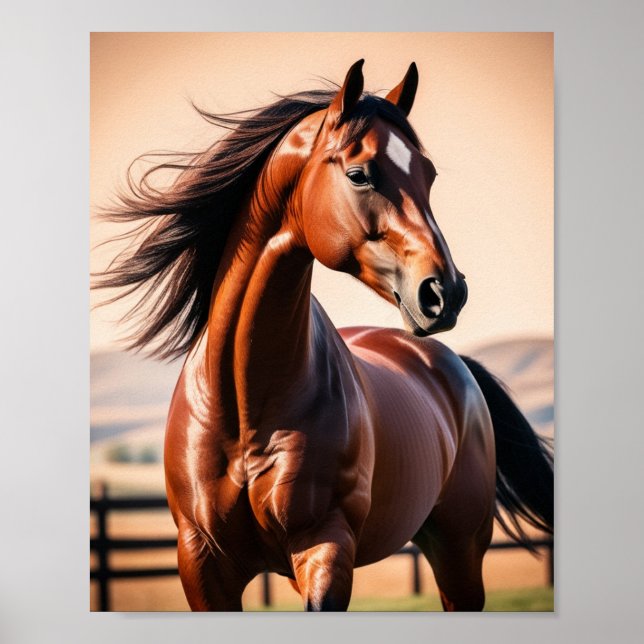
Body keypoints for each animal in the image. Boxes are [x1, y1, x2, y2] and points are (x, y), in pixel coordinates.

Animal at [96, 60, 553, 611]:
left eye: (430, 175)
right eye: (359, 174)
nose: (446, 292)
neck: (246, 407)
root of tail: (452, 364)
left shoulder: (325, 547)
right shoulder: (201, 563)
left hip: (459, 552)